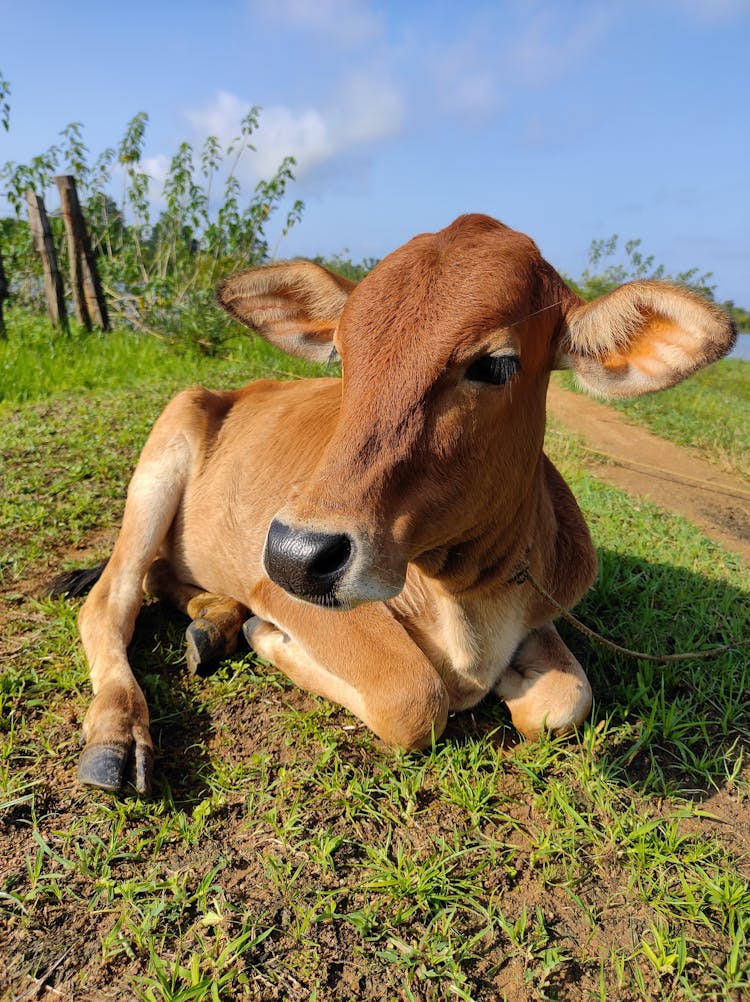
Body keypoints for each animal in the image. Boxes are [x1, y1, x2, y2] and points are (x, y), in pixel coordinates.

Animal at [73, 215, 732, 793]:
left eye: (496, 365)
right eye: (342, 354)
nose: (295, 553)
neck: (466, 595)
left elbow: (565, 701)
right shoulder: (290, 595)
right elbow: (415, 697)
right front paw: (270, 639)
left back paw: (212, 621)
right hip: (166, 448)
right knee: (109, 601)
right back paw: (119, 734)